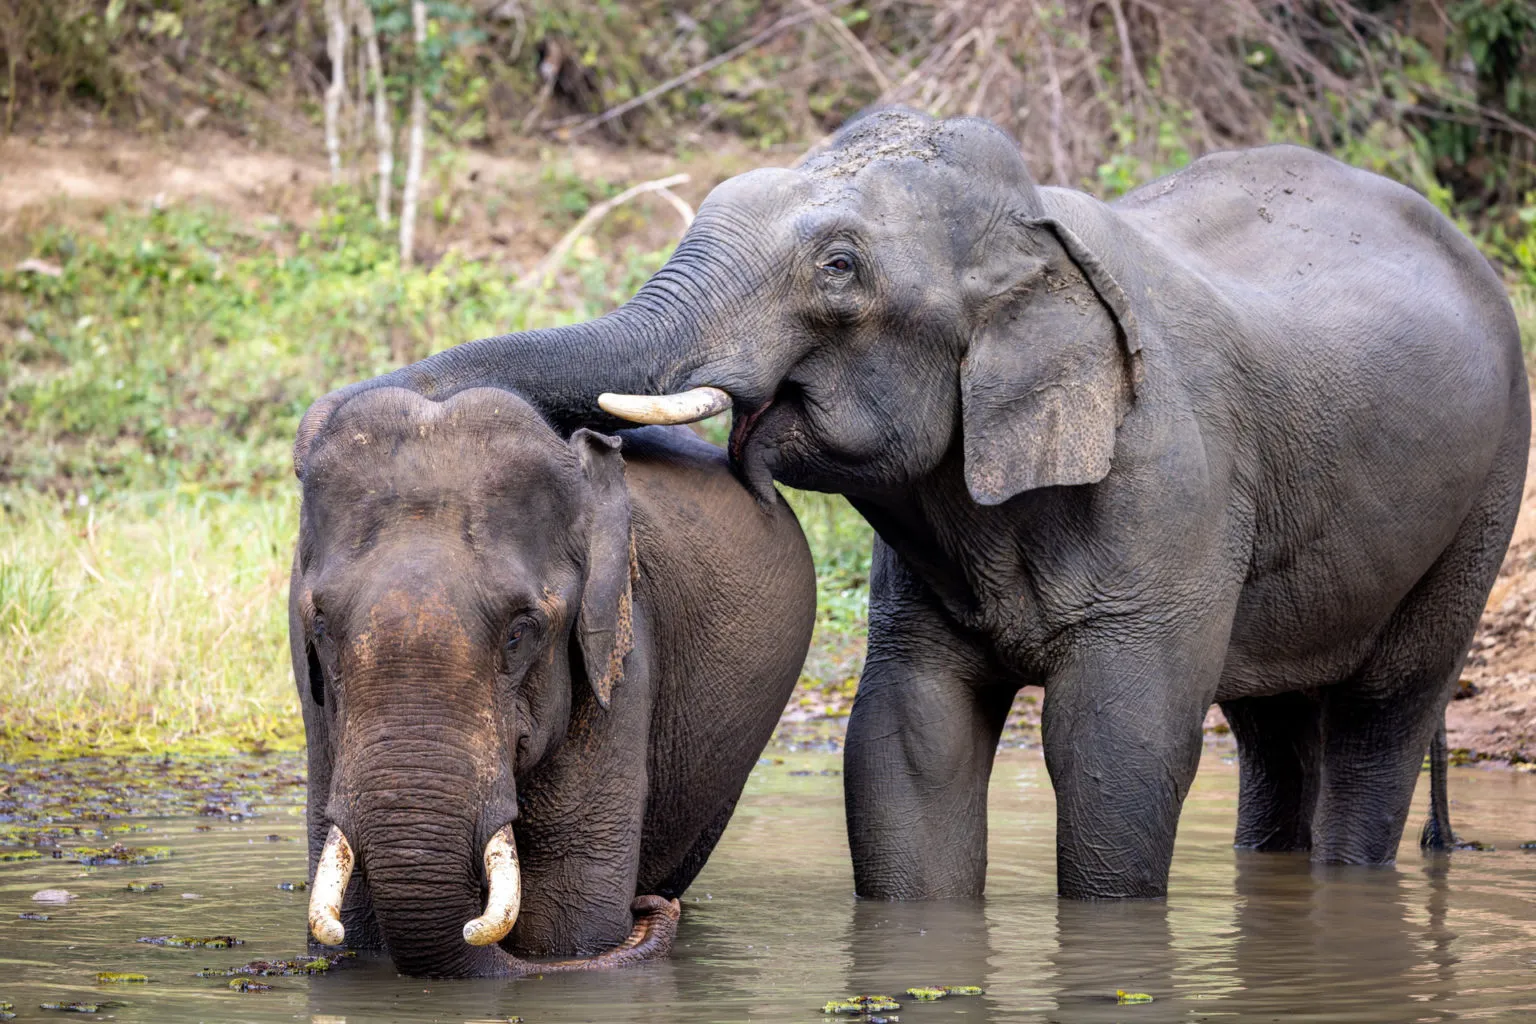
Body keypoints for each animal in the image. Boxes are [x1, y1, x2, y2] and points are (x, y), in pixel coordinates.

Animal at [288, 385, 815, 976]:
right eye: (322, 626)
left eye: (521, 631)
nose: (648, 908)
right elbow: (352, 927)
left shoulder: (619, 656)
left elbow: (569, 927)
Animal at [296, 108, 1528, 901]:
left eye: (840, 267)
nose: (321, 431)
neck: (1034, 234)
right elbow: (905, 740)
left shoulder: (1171, 478)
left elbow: (1118, 744)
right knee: (1274, 726)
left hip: (1483, 498)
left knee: (1381, 713)